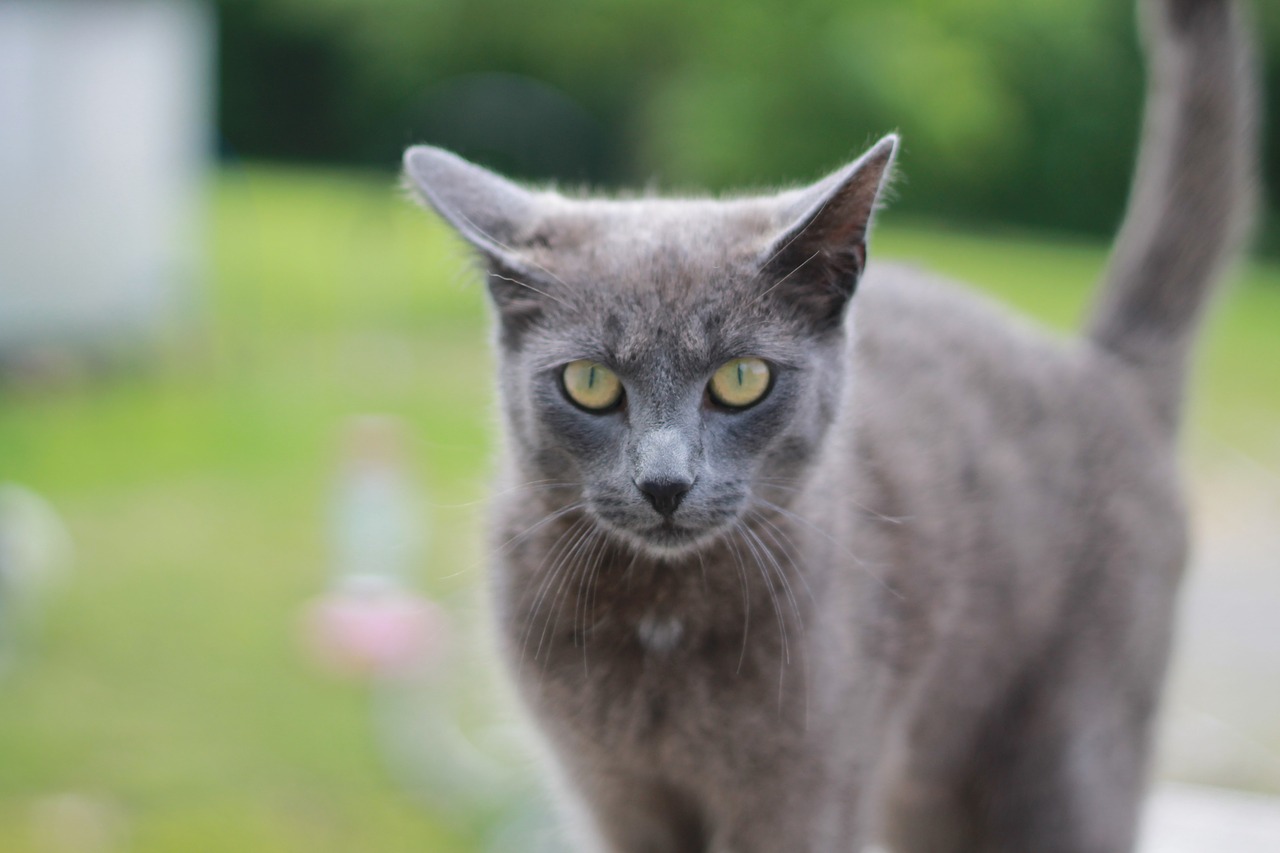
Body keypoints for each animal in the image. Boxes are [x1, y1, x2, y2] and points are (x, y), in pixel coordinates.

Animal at [401, 0, 1259, 845]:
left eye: (741, 379)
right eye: (591, 383)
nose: (666, 481)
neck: (659, 617)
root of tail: (1105, 369)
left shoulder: (808, 785)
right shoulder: (612, 793)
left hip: (1070, 749)